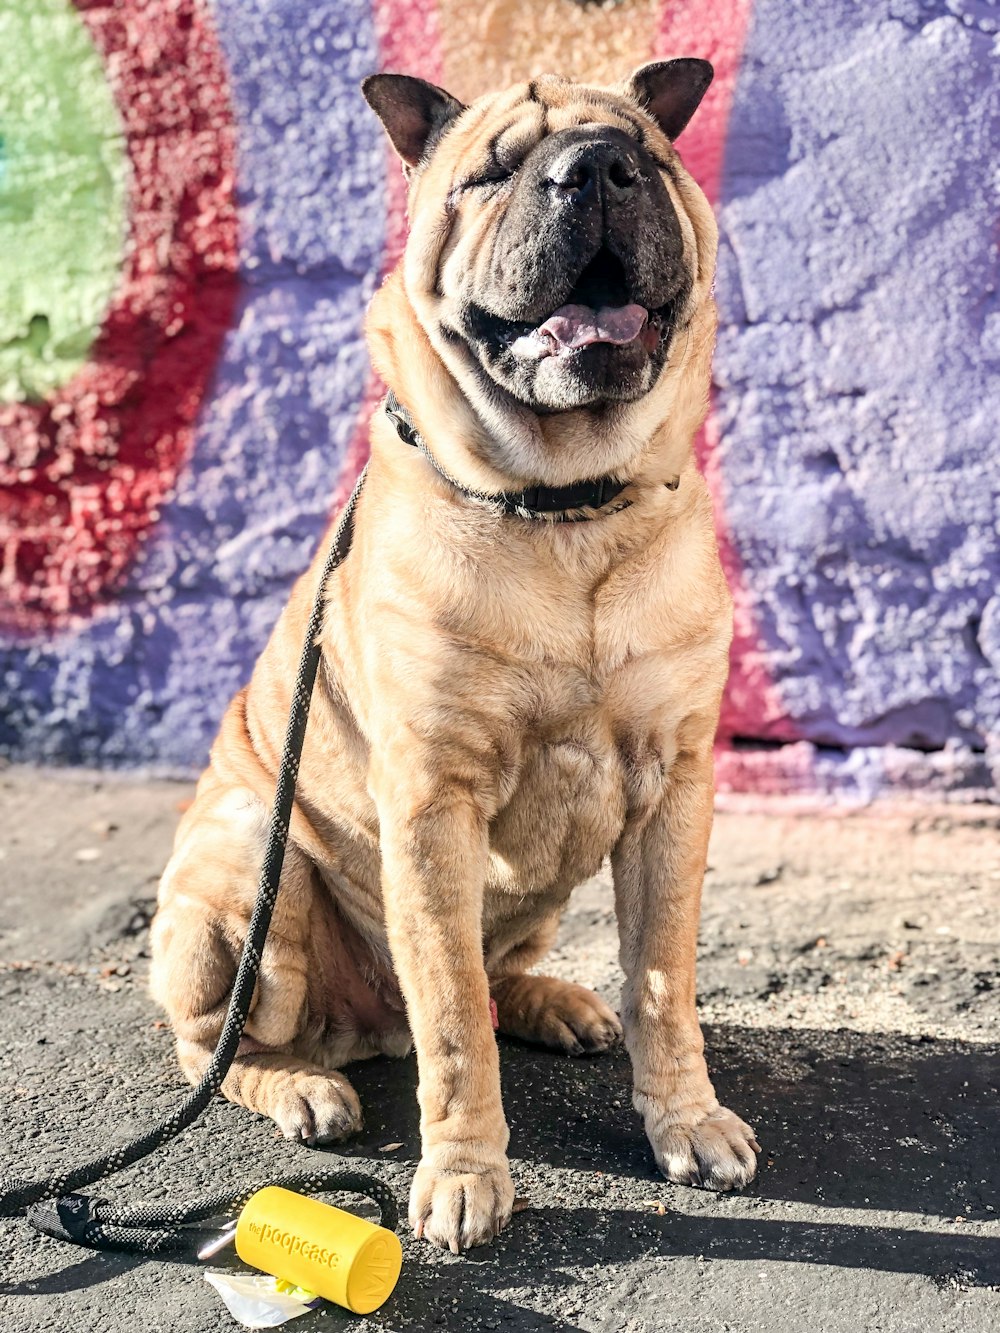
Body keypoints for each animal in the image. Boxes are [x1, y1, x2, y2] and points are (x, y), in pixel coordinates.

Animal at [148, 59, 757, 1247]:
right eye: (491, 172)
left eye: (644, 157)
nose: (592, 170)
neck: (565, 507)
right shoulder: (434, 801)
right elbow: (453, 1018)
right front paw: (467, 1171)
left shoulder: (674, 788)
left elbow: (662, 977)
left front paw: (686, 1119)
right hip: (247, 866)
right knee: (221, 1044)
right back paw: (304, 1086)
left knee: (500, 972)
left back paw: (553, 1002)